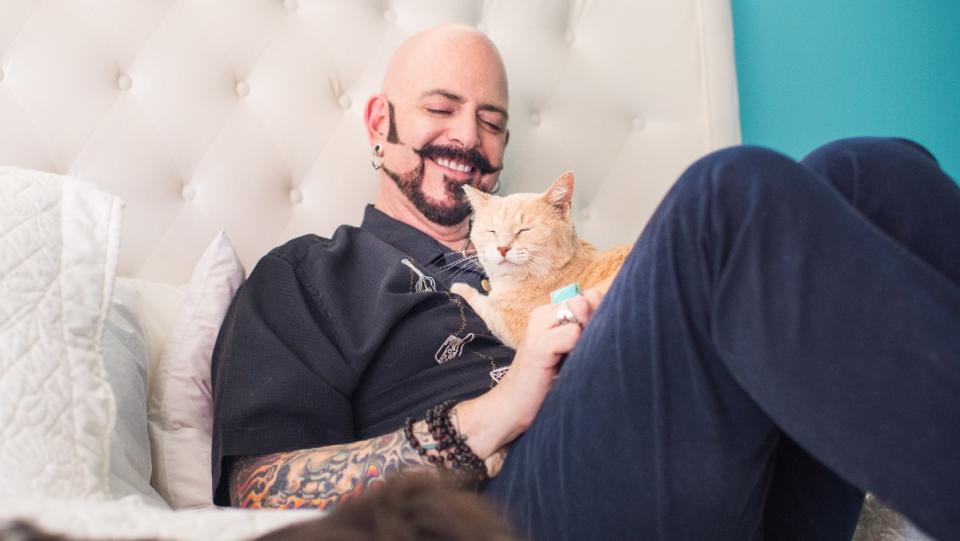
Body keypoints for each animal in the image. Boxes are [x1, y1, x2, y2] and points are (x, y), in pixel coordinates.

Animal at [450, 173, 632, 350]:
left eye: (524, 230)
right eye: (492, 231)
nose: (502, 248)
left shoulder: (507, 324)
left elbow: (483, 304)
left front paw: (460, 288)